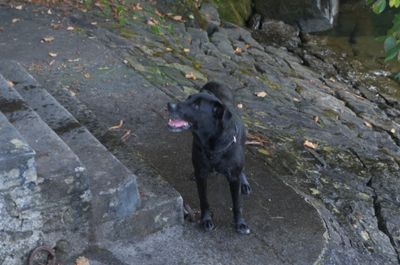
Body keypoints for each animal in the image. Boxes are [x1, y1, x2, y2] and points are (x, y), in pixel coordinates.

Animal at [168, 81, 250, 233]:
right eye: (187, 98)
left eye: (196, 106)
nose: (170, 105)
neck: (213, 146)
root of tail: (215, 82)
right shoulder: (202, 175)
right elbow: (204, 200)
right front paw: (206, 219)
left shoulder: (233, 178)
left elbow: (237, 204)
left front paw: (240, 223)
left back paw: (245, 182)